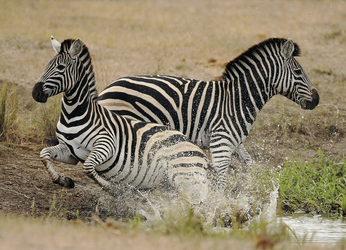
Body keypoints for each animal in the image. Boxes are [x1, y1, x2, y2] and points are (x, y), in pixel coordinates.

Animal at [31, 37, 208, 205]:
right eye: (46, 65)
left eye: (60, 68)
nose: (35, 93)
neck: (72, 115)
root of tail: (197, 149)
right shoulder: (70, 152)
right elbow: (44, 154)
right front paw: (63, 180)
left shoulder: (107, 143)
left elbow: (88, 166)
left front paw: (112, 188)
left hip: (185, 174)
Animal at [96, 37, 320, 189]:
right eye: (298, 72)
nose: (317, 99)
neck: (238, 99)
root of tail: (106, 89)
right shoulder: (222, 139)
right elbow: (221, 174)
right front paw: (219, 205)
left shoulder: (233, 140)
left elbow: (249, 163)